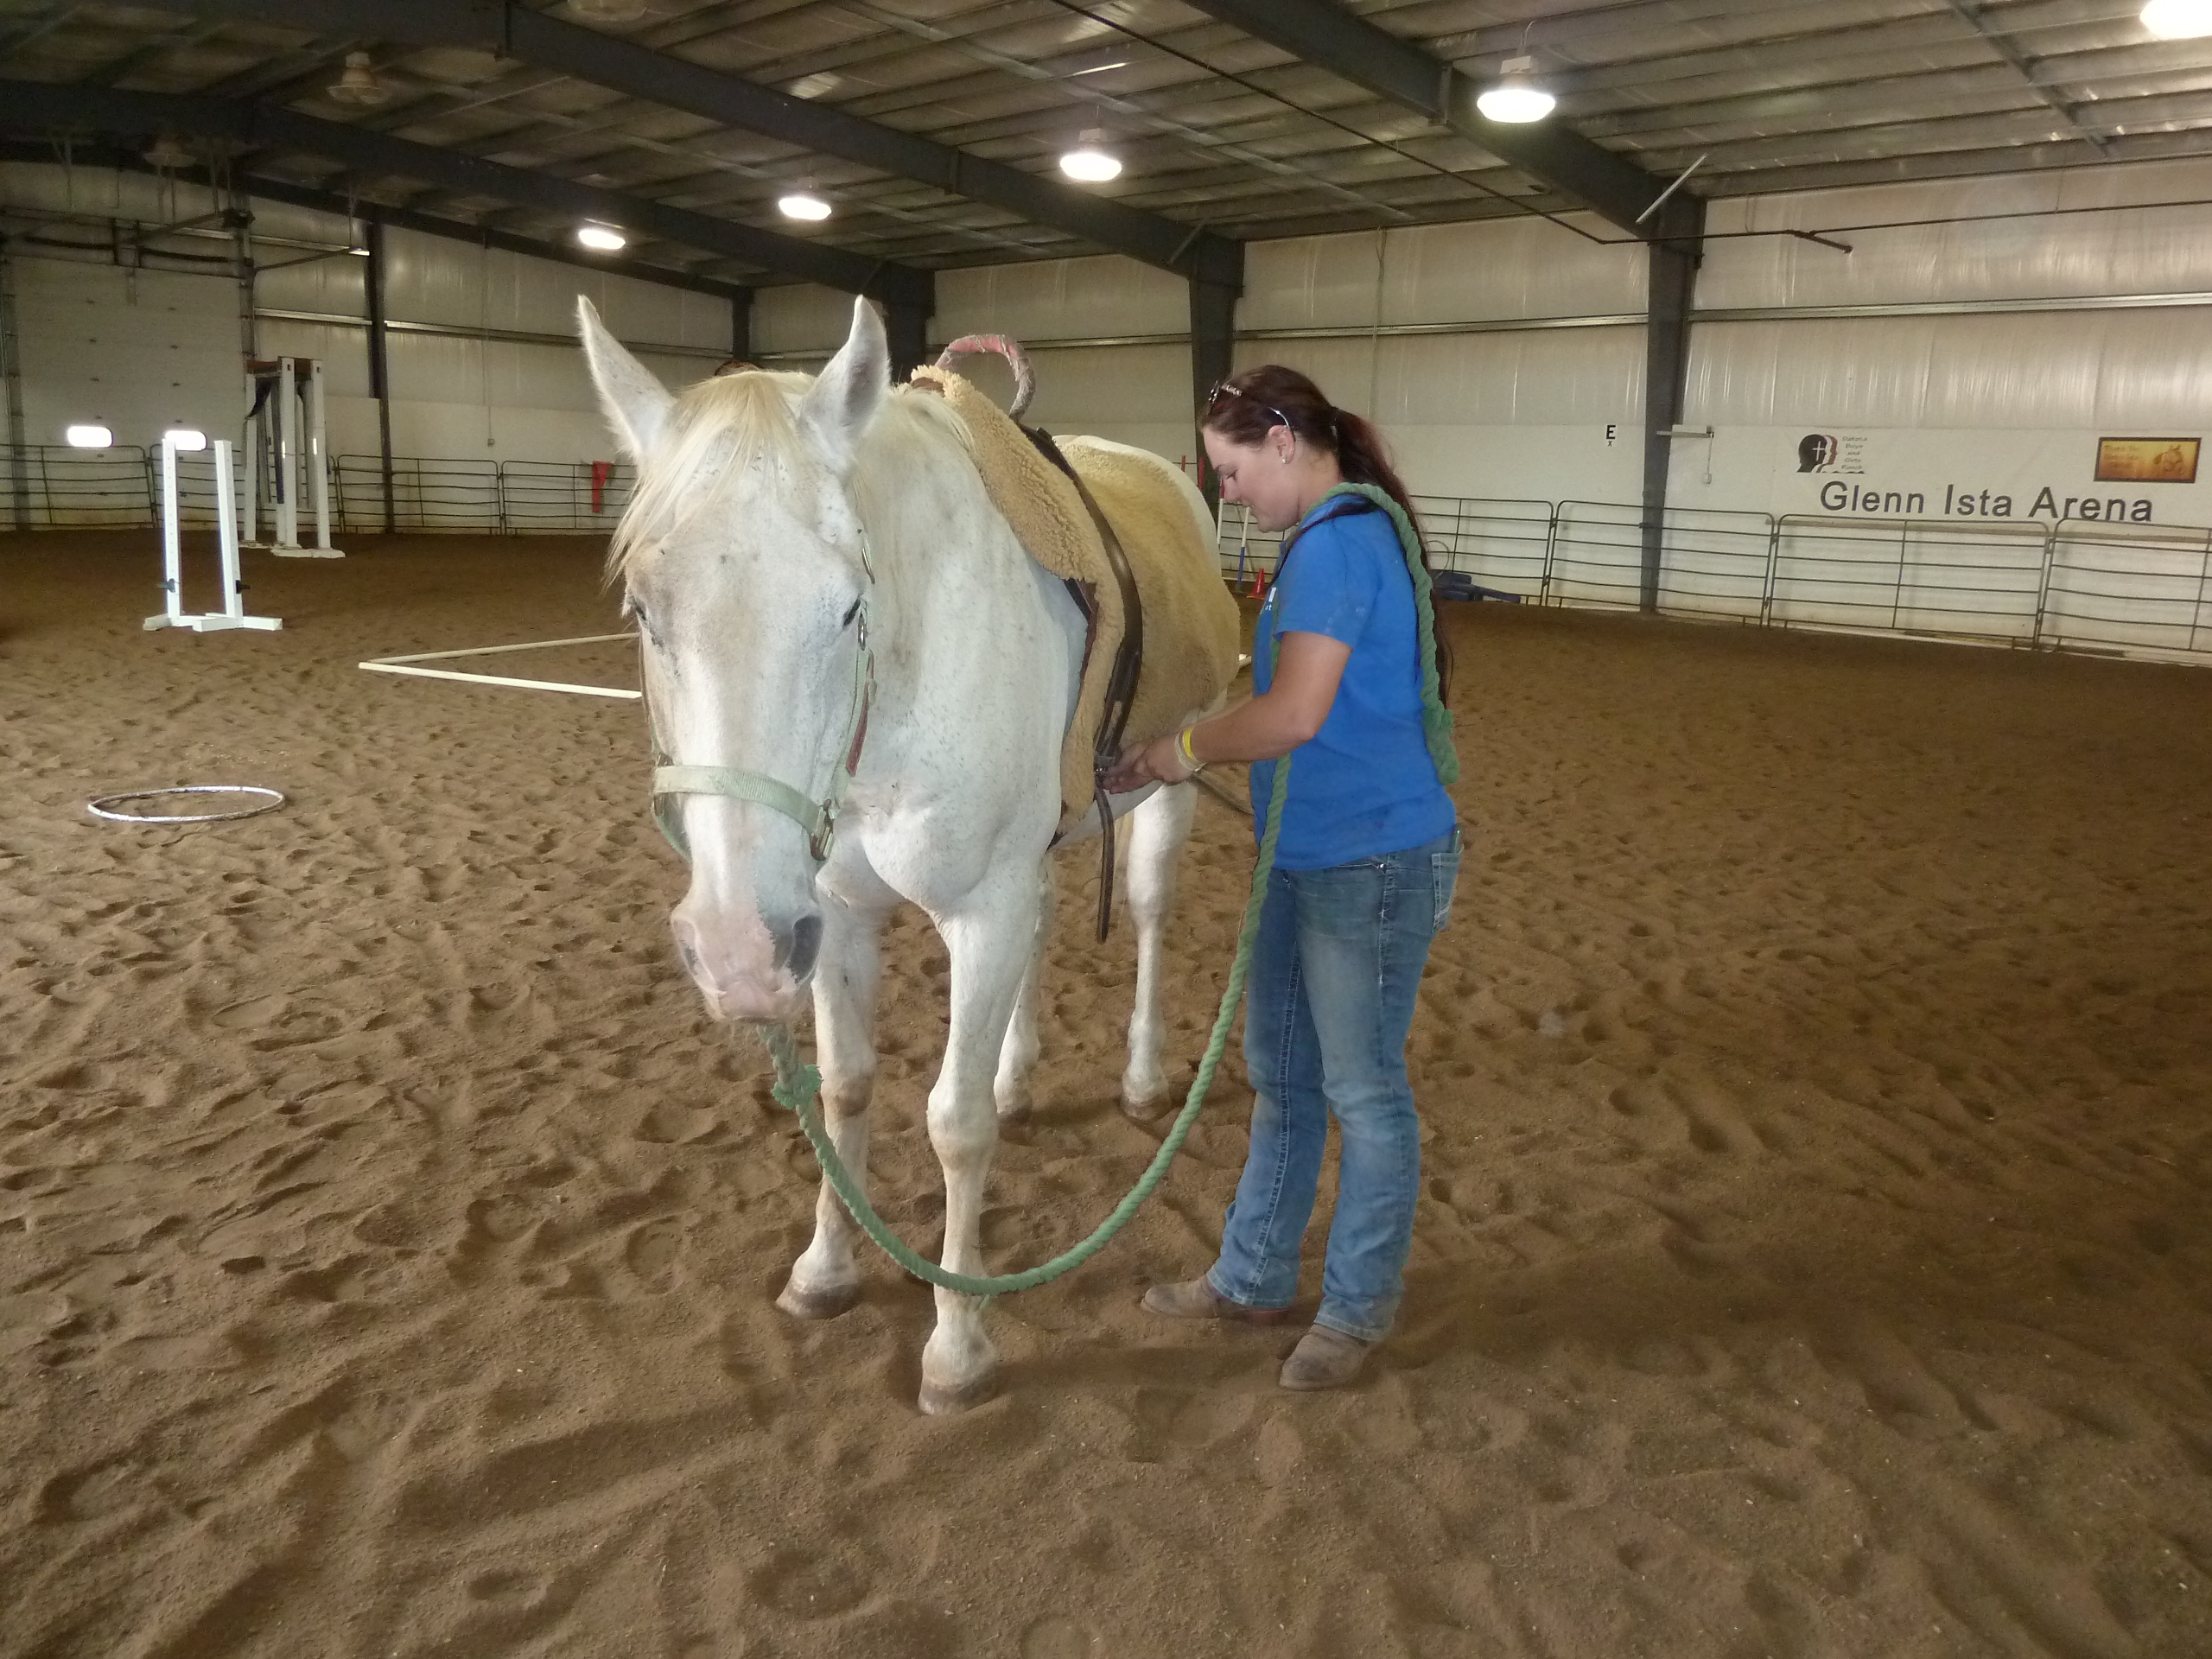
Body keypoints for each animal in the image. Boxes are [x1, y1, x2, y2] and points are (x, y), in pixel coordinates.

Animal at [578, 294, 1217, 1413]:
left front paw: (957, 1343)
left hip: (1169, 792)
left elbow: (954, 1124)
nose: (735, 952)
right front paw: (826, 1269)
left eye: (846, 606)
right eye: (642, 612)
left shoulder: (979, 912)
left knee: (1144, 914)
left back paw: (1142, 1079)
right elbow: (846, 1090)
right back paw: (1018, 1074)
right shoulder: (834, 915)